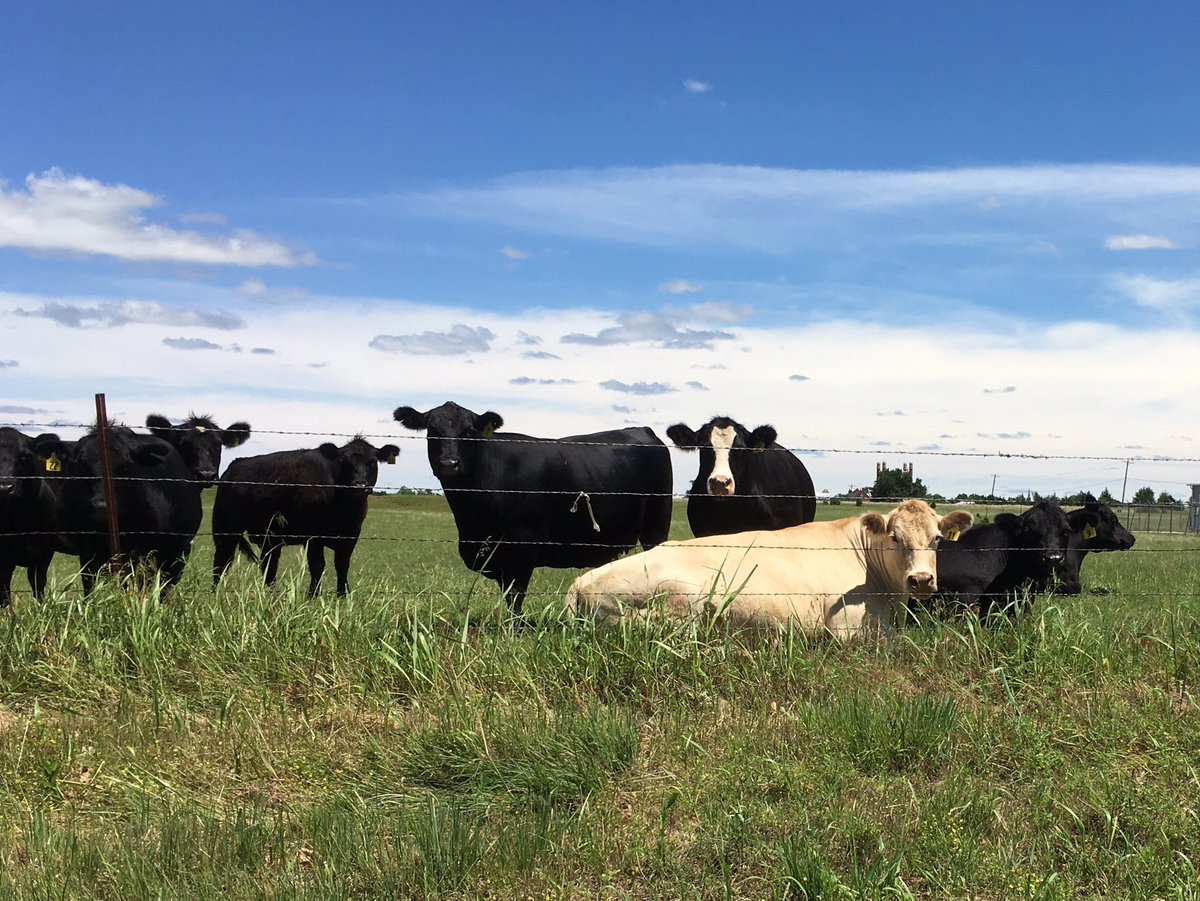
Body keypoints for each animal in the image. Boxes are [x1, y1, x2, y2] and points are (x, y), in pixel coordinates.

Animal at [211, 437, 399, 597]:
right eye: (345, 462)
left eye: (372, 463)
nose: (359, 485)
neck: (344, 510)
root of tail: (235, 465)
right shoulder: (313, 534)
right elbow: (317, 565)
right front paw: (313, 596)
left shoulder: (351, 535)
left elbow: (342, 565)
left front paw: (342, 596)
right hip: (225, 528)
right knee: (222, 560)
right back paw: (216, 593)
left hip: (270, 536)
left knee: (269, 565)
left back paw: (270, 594)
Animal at [393, 401, 674, 616]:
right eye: (432, 429)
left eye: (469, 431)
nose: (449, 464)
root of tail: (643, 430)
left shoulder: (522, 549)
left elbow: (516, 599)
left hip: (657, 524)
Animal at [566, 500, 973, 638]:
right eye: (894, 537)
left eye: (938, 538)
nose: (921, 579)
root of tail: (583, 579)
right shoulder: (847, 631)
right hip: (678, 605)